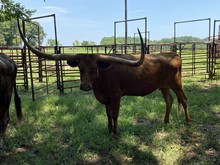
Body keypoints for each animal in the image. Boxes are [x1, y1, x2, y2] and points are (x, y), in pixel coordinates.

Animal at [18, 20, 191, 135]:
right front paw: (108, 130)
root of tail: (173, 54)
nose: (85, 86)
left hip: (176, 83)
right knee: (169, 100)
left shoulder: (116, 96)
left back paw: (188, 121)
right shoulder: (105, 98)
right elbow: (108, 114)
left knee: (183, 99)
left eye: (95, 68)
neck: (100, 82)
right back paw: (166, 121)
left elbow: (114, 114)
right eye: (80, 67)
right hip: (163, 86)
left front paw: (116, 132)